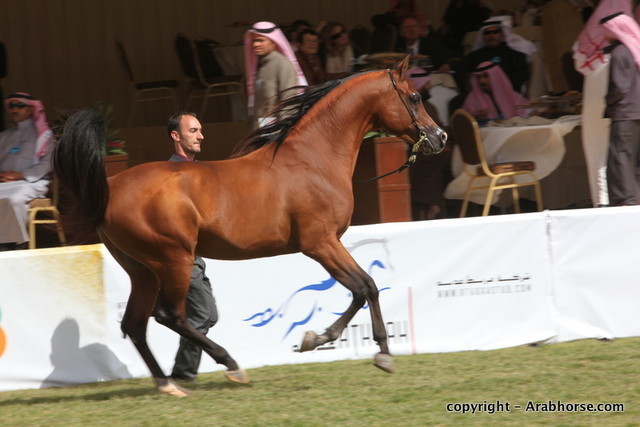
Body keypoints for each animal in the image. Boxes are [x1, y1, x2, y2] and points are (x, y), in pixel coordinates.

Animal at [53, 56, 447, 397]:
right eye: (414, 97)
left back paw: (169, 384)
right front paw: (368, 351)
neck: (312, 160)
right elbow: (365, 287)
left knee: (135, 324)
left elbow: (363, 290)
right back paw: (231, 365)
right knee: (170, 316)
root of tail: (110, 187)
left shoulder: (326, 244)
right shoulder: (320, 243)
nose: (440, 137)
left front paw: (332, 342)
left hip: (142, 270)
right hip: (172, 259)